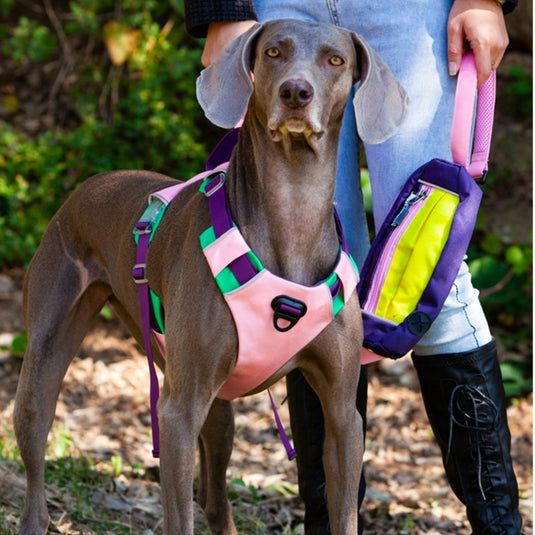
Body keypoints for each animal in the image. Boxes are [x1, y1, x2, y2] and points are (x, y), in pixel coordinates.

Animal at [13, 18, 406, 532]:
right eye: (274, 52)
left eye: (335, 60)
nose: (295, 92)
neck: (291, 222)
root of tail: (91, 184)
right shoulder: (177, 413)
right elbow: (178, 514)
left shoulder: (342, 413)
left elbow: (343, 510)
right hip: (48, 355)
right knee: (36, 449)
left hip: (214, 405)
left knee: (215, 496)